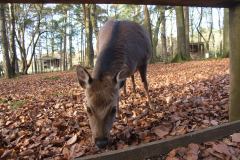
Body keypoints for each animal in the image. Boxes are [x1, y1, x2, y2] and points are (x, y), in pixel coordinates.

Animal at [76, 20, 152, 149]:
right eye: (88, 109)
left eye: (113, 109)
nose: (101, 142)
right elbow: (118, 91)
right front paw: (121, 113)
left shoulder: (144, 60)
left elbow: (145, 84)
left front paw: (151, 105)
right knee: (127, 79)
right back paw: (128, 92)